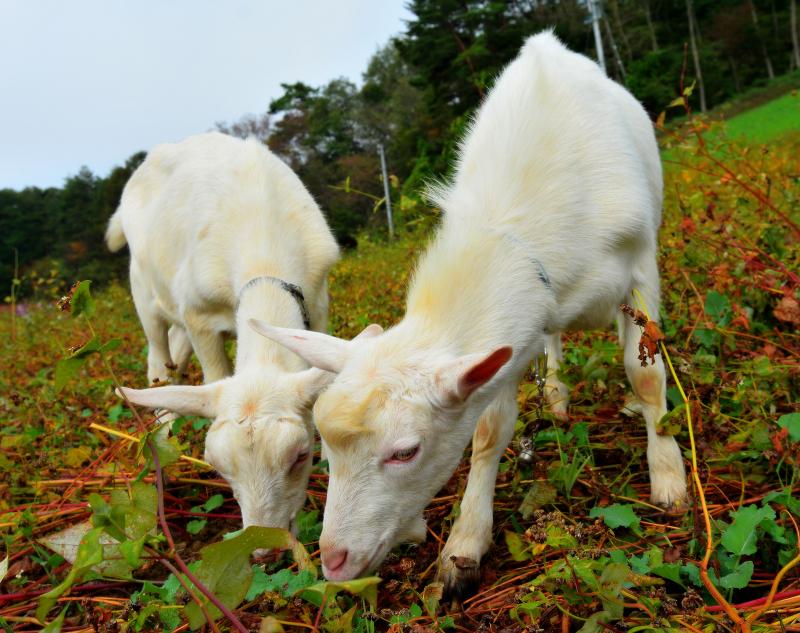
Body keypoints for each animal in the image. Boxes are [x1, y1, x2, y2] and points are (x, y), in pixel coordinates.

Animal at [104, 131, 360, 532]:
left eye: (300, 454)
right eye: (217, 466)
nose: (265, 541)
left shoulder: (318, 302)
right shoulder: (200, 316)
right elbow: (213, 375)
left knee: (174, 356)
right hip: (142, 290)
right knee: (157, 355)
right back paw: (162, 439)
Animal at [252, 30, 688, 592]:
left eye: (405, 452)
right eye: (322, 451)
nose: (334, 561)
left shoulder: (640, 268)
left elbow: (646, 373)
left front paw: (669, 476)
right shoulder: (510, 339)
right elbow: (488, 430)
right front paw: (465, 543)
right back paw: (556, 392)